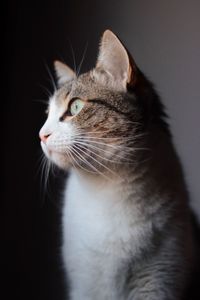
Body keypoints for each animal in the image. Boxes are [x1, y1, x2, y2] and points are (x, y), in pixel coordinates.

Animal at [38, 29, 197, 300]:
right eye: (48, 114)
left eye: (75, 107)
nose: (41, 134)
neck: (106, 188)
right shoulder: (83, 285)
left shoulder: (160, 278)